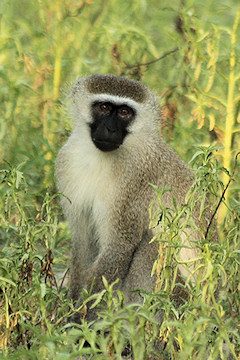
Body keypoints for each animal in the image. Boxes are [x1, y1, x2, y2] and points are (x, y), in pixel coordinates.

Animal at [55, 73, 216, 320]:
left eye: (124, 112)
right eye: (104, 107)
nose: (110, 129)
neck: (100, 157)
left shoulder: (136, 179)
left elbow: (119, 246)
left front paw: (80, 322)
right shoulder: (67, 162)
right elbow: (83, 242)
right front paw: (70, 311)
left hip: (179, 302)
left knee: (151, 246)